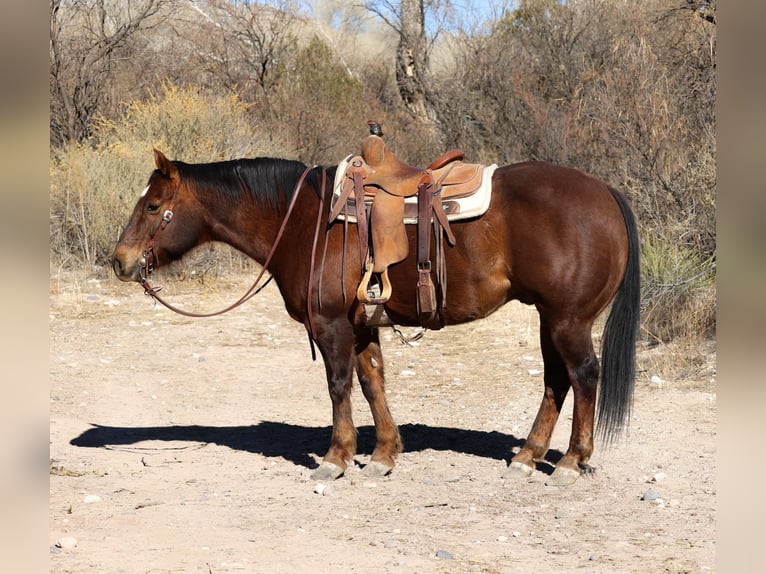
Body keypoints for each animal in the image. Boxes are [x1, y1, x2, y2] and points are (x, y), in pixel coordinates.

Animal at [111, 148, 640, 486]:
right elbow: (372, 383)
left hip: (568, 320)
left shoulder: (330, 325)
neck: (303, 220)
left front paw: (336, 457)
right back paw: (527, 457)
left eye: (154, 206)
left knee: (583, 376)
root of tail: (606, 193)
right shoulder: (363, 324)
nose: (119, 261)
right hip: (551, 319)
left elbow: (339, 386)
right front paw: (384, 454)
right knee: (556, 381)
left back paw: (570, 462)